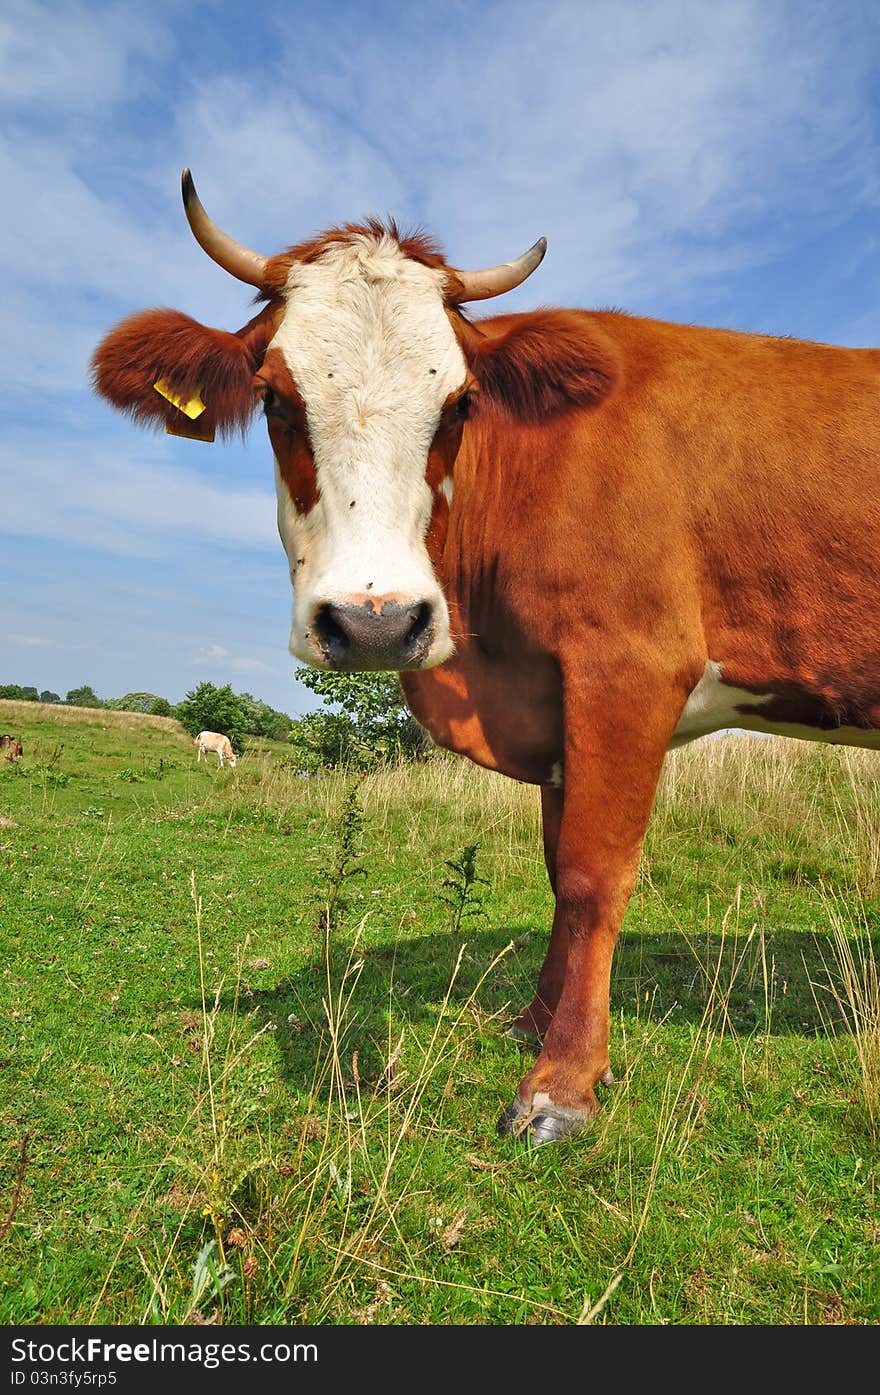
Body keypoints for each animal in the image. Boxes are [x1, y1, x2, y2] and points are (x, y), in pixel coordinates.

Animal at [91, 168, 880, 1143]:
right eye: (274, 397)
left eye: (461, 402)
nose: (377, 621)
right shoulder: (556, 698)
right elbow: (555, 868)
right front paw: (536, 1019)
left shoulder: (629, 669)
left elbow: (591, 873)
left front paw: (564, 1080)